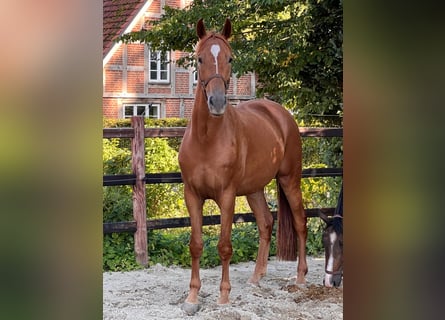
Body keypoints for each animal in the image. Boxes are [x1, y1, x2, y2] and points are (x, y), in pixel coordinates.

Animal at [179, 18, 306, 316]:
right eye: (199, 58)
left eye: (230, 58)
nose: (216, 103)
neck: (206, 139)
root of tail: (281, 114)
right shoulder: (192, 195)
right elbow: (196, 245)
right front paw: (192, 298)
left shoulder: (226, 196)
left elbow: (225, 246)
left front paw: (224, 297)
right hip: (254, 189)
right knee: (266, 224)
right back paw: (256, 277)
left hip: (289, 180)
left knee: (300, 223)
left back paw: (300, 278)